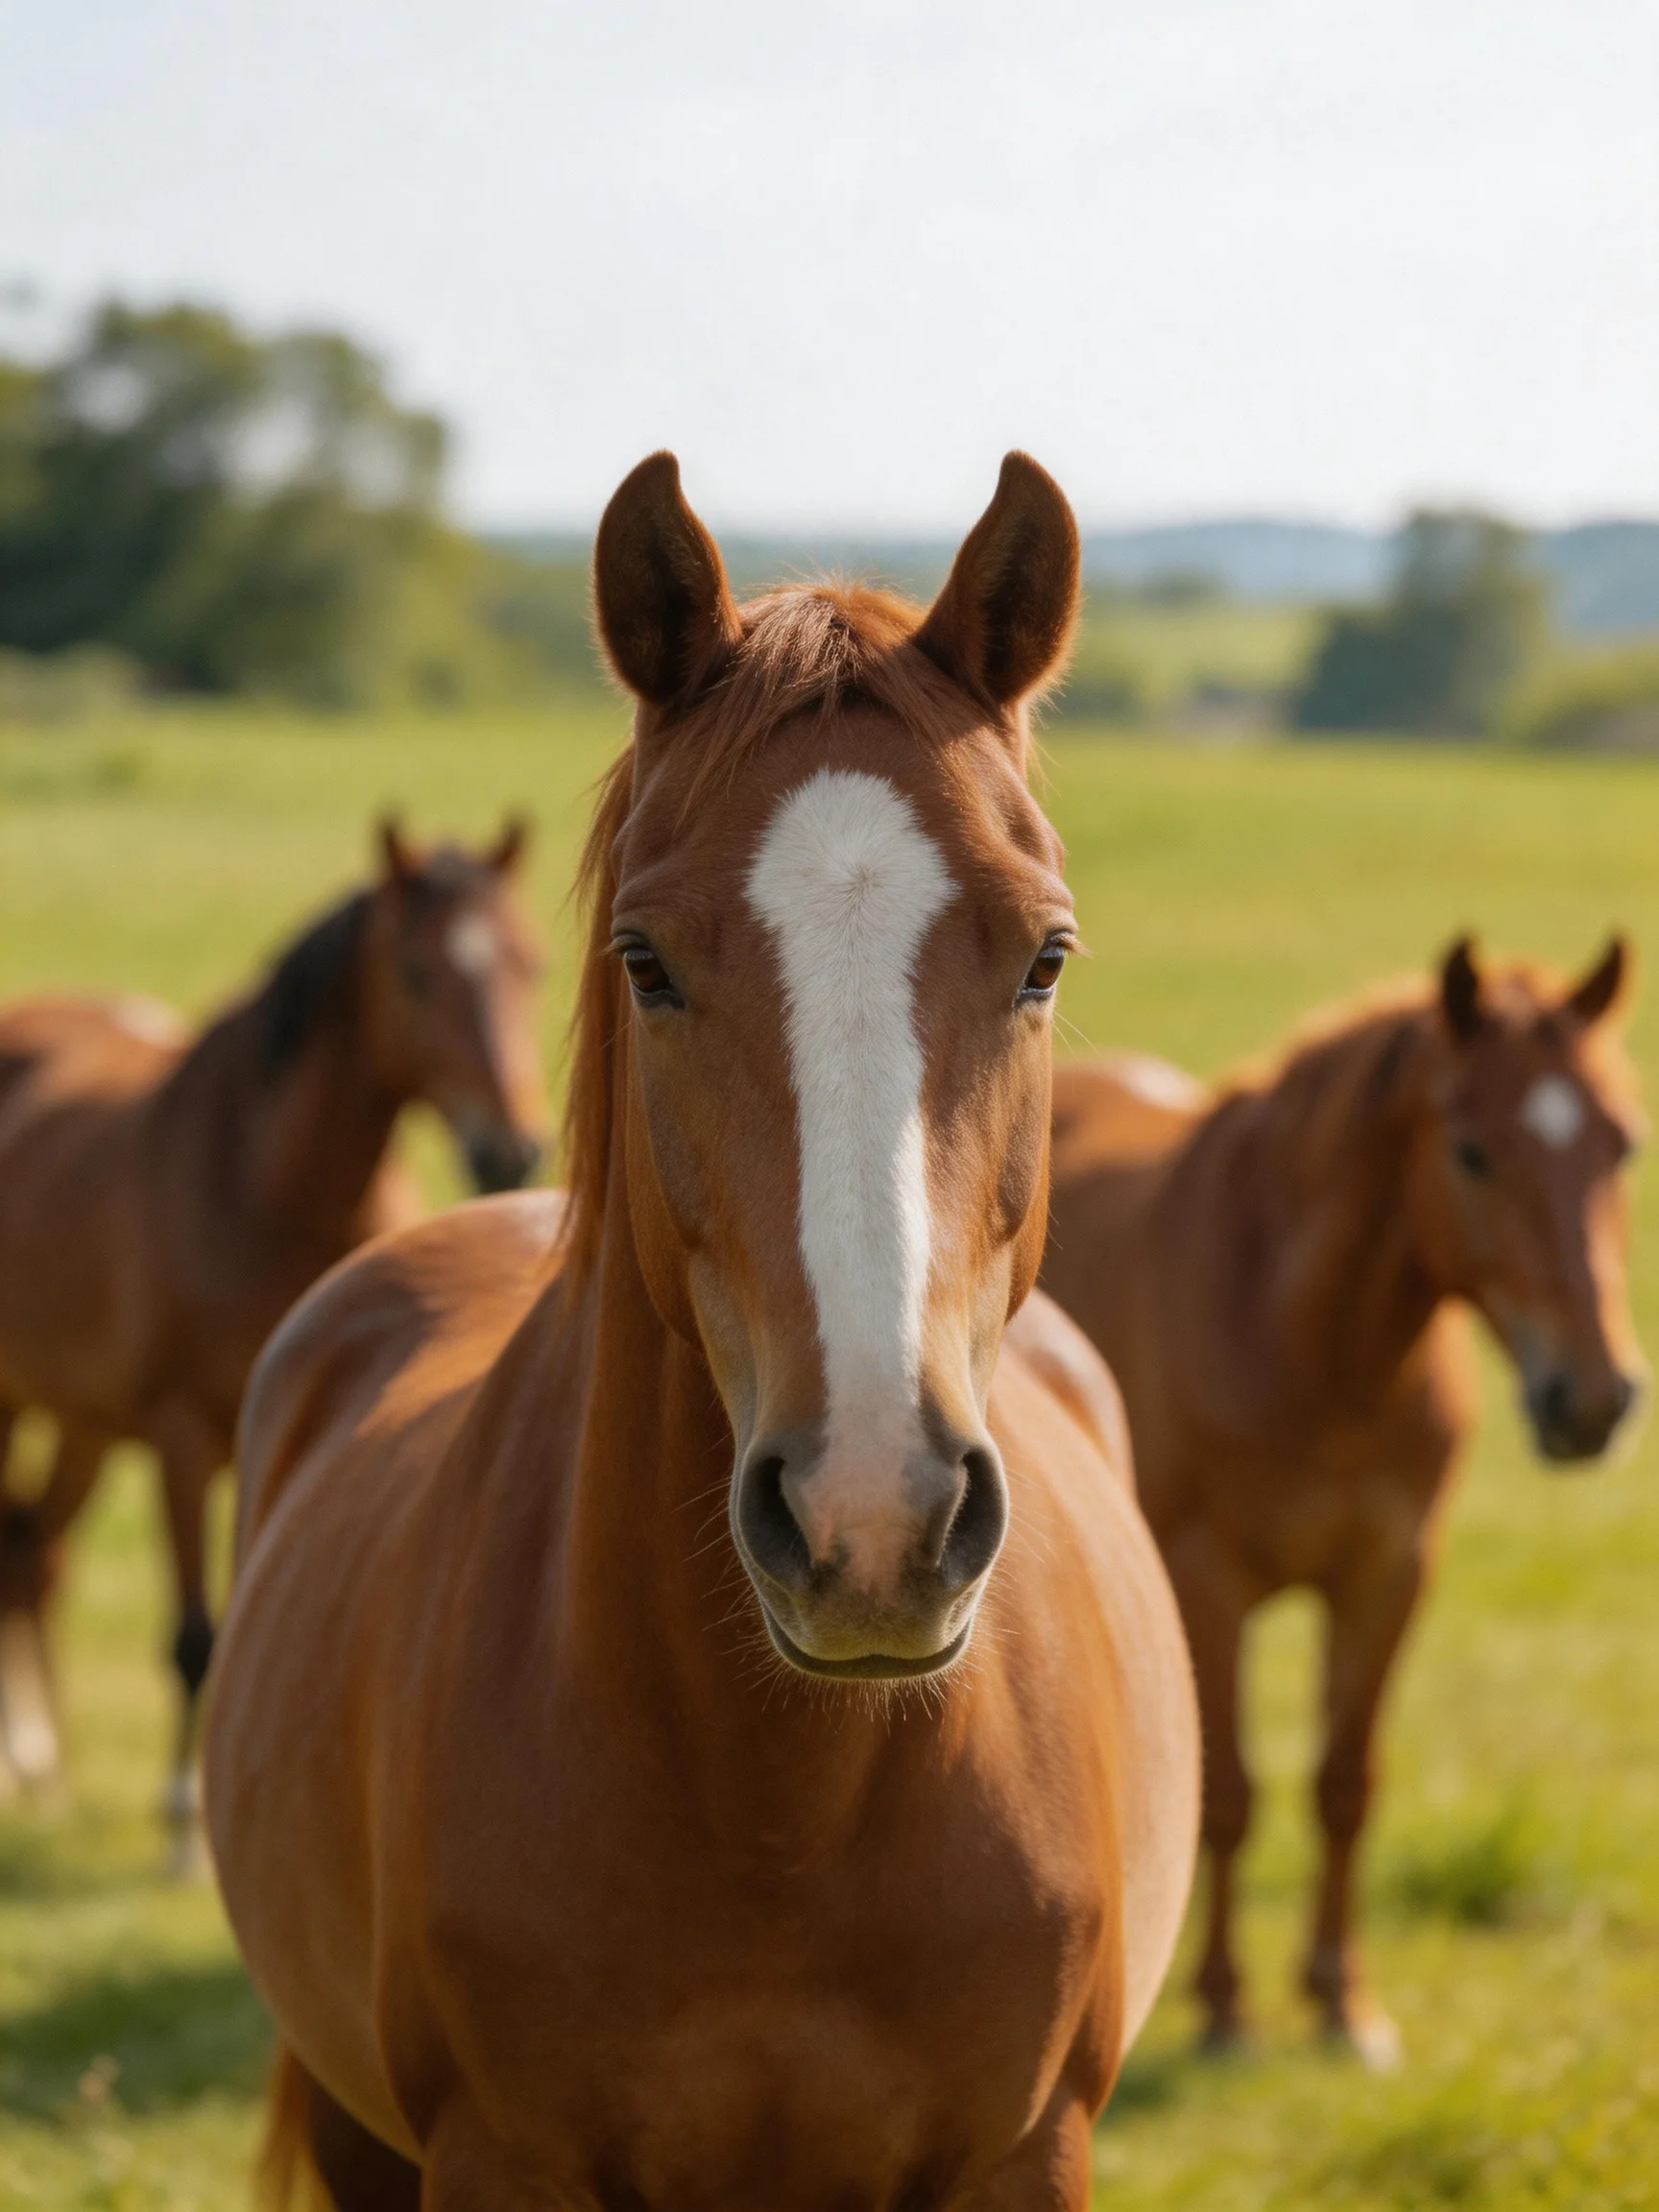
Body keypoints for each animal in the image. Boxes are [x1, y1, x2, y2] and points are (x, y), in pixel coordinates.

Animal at [0, 817, 547, 1846]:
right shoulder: (182, 1436)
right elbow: (194, 1638)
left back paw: (40, 1766)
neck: (276, 1184)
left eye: (530, 964)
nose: (511, 1150)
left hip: (86, 1422)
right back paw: (27, 1759)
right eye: (416, 973)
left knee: (31, 1554)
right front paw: (183, 1823)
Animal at [204, 451, 1200, 2211]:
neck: (780, 1812)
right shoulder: (491, 2159)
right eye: (645, 960)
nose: (873, 1518)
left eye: (1044, 954)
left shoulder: (1027, 2155)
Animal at [1041, 937, 1643, 2066]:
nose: (1592, 1399)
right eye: (1471, 1152)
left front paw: (1341, 2005)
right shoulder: (1208, 1584)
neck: (1309, 1342)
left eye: (1622, 1145)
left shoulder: (1388, 1574)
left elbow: (1344, 1783)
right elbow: (1229, 1795)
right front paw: (1226, 2008)